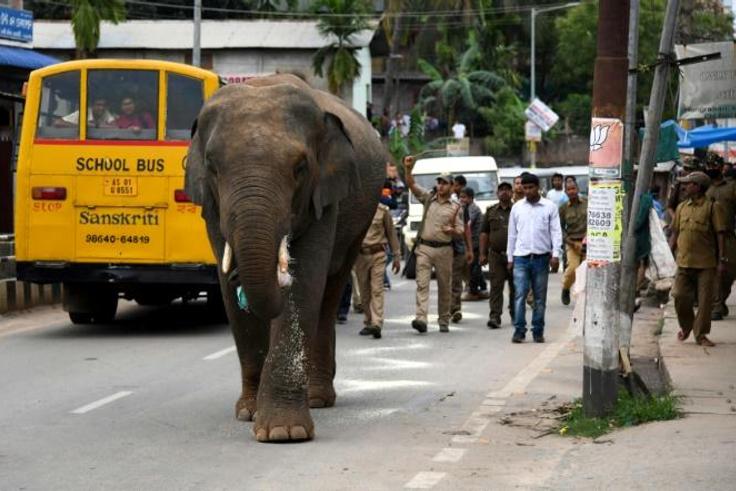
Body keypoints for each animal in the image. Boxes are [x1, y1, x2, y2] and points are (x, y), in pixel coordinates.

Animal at [185, 74, 387, 442]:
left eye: (300, 167)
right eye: (212, 167)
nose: (240, 279)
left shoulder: (324, 196)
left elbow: (304, 282)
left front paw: (283, 432)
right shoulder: (211, 209)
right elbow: (227, 289)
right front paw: (248, 413)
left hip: (360, 218)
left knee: (330, 292)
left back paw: (318, 397)